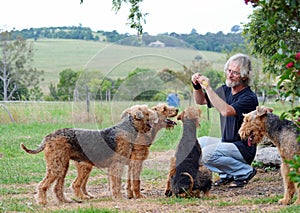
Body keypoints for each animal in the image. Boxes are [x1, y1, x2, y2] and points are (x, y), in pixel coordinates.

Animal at [19, 104, 158, 205]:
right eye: (146, 112)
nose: (154, 115)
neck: (127, 129)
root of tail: (49, 136)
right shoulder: (117, 164)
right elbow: (116, 184)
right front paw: (118, 197)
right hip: (57, 165)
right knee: (43, 185)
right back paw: (42, 201)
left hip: (63, 166)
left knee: (57, 188)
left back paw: (65, 200)